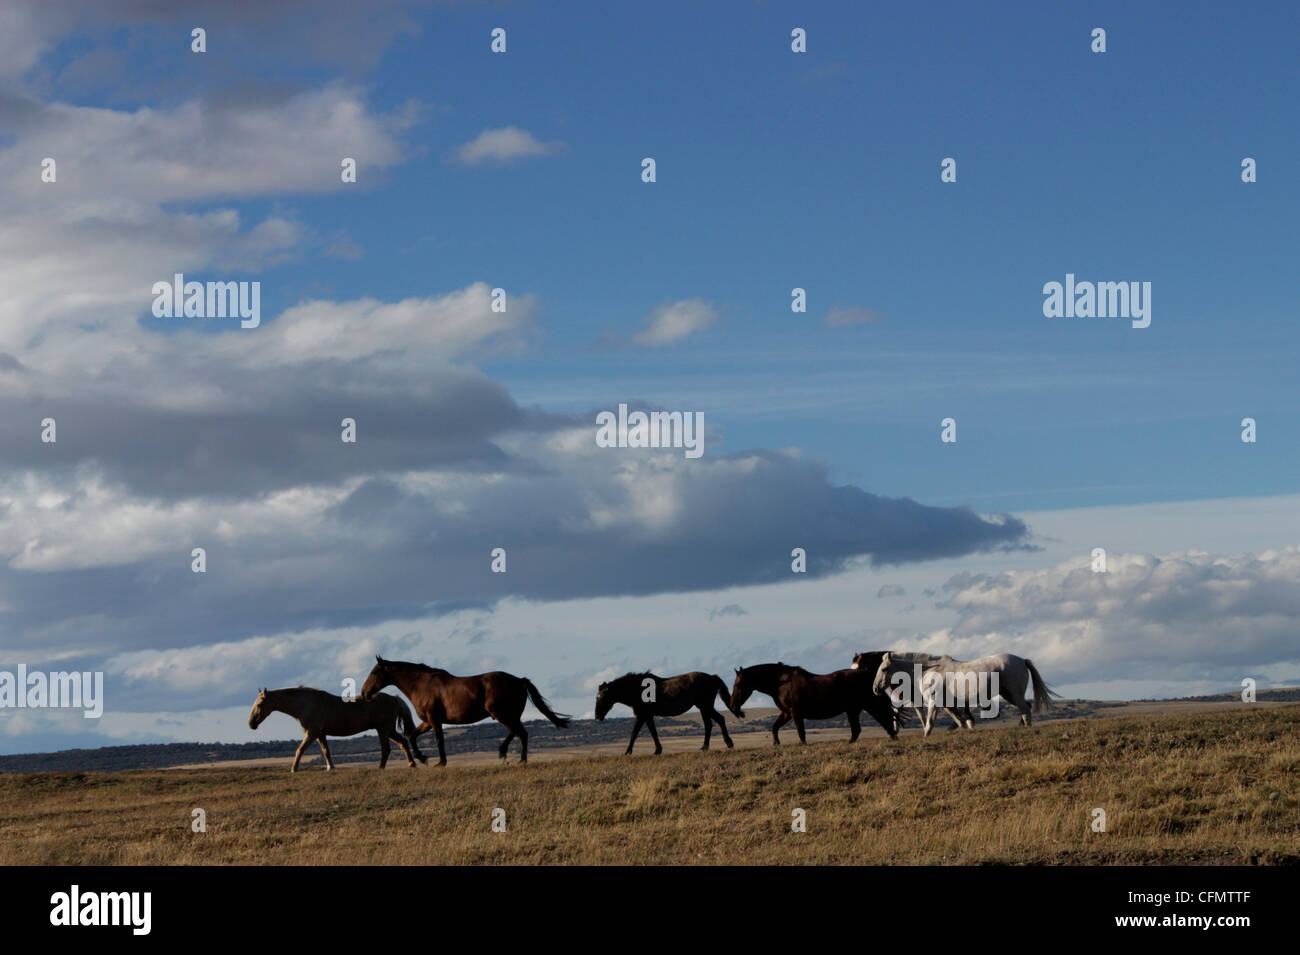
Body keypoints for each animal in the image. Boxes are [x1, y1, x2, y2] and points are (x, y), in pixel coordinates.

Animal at [245, 686, 423, 774]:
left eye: (260, 704)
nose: (251, 724)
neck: (305, 704)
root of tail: (393, 698)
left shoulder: (312, 733)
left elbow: (299, 750)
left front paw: (293, 769)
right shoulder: (320, 734)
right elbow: (326, 751)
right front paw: (330, 768)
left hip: (383, 730)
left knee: (386, 749)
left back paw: (381, 767)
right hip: (388, 730)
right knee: (402, 743)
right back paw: (412, 764)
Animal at [364, 660, 572, 764]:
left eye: (374, 672)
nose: (365, 693)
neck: (422, 685)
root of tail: (519, 681)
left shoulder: (434, 719)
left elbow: (439, 739)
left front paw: (440, 762)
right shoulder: (427, 721)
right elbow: (412, 735)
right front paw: (422, 758)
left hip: (501, 713)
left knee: (517, 731)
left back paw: (503, 752)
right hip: (511, 715)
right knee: (522, 734)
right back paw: (521, 760)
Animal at [592, 670, 743, 753]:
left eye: (602, 697)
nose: (597, 717)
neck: (638, 689)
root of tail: (712, 677)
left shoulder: (641, 715)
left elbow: (634, 733)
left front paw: (628, 751)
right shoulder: (648, 716)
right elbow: (653, 732)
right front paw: (658, 750)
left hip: (705, 706)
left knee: (717, 721)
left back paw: (726, 744)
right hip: (703, 707)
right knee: (711, 724)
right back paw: (709, 746)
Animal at [722, 665, 904, 748]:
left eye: (738, 684)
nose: (732, 705)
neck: (782, 683)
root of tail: (868, 676)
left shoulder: (795, 713)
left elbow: (801, 731)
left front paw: (802, 744)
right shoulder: (786, 713)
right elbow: (774, 727)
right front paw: (776, 743)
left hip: (868, 705)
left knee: (884, 720)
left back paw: (893, 738)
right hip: (853, 710)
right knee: (858, 729)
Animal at [873, 649, 1055, 738]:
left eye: (884, 669)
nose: (875, 688)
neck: (929, 670)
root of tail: (1022, 660)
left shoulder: (934, 702)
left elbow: (930, 722)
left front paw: (926, 736)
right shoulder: (948, 704)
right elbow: (960, 719)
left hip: (1013, 694)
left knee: (1025, 709)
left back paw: (1027, 727)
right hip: (1008, 694)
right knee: (1026, 707)